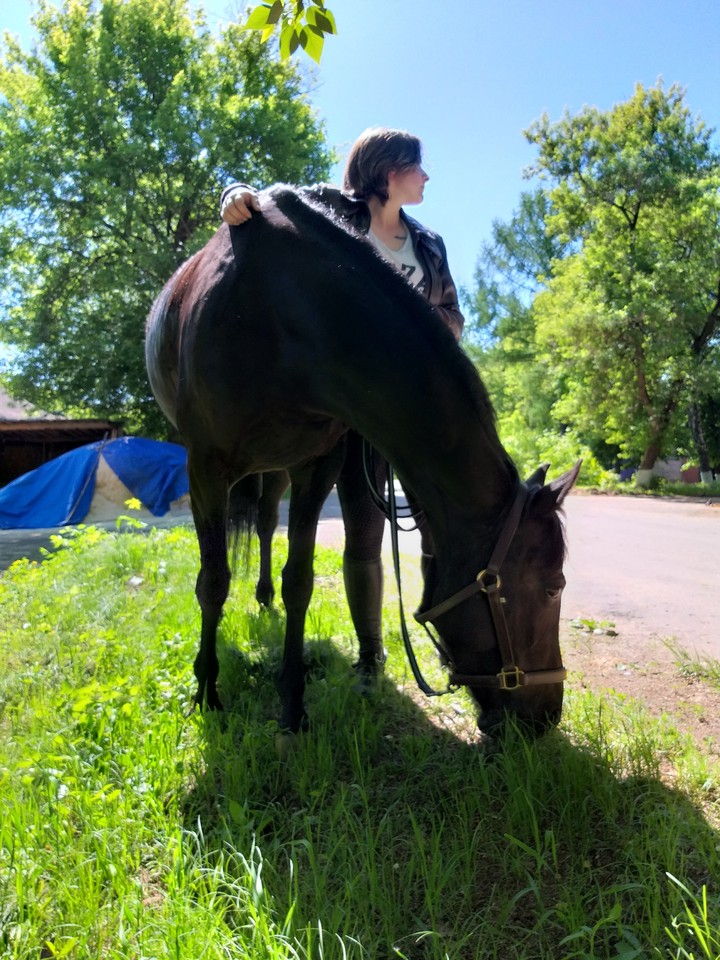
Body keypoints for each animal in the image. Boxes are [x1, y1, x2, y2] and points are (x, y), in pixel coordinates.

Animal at [145, 184, 580, 738]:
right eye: (553, 588)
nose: (546, 717)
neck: (284, 315)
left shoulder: (316, 467)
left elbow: (300, 582)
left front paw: (293, 704)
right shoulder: (204, 469)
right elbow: (213, 582)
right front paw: (206, 692)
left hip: (277, 471)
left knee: (265, 524)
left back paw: (264, 599)